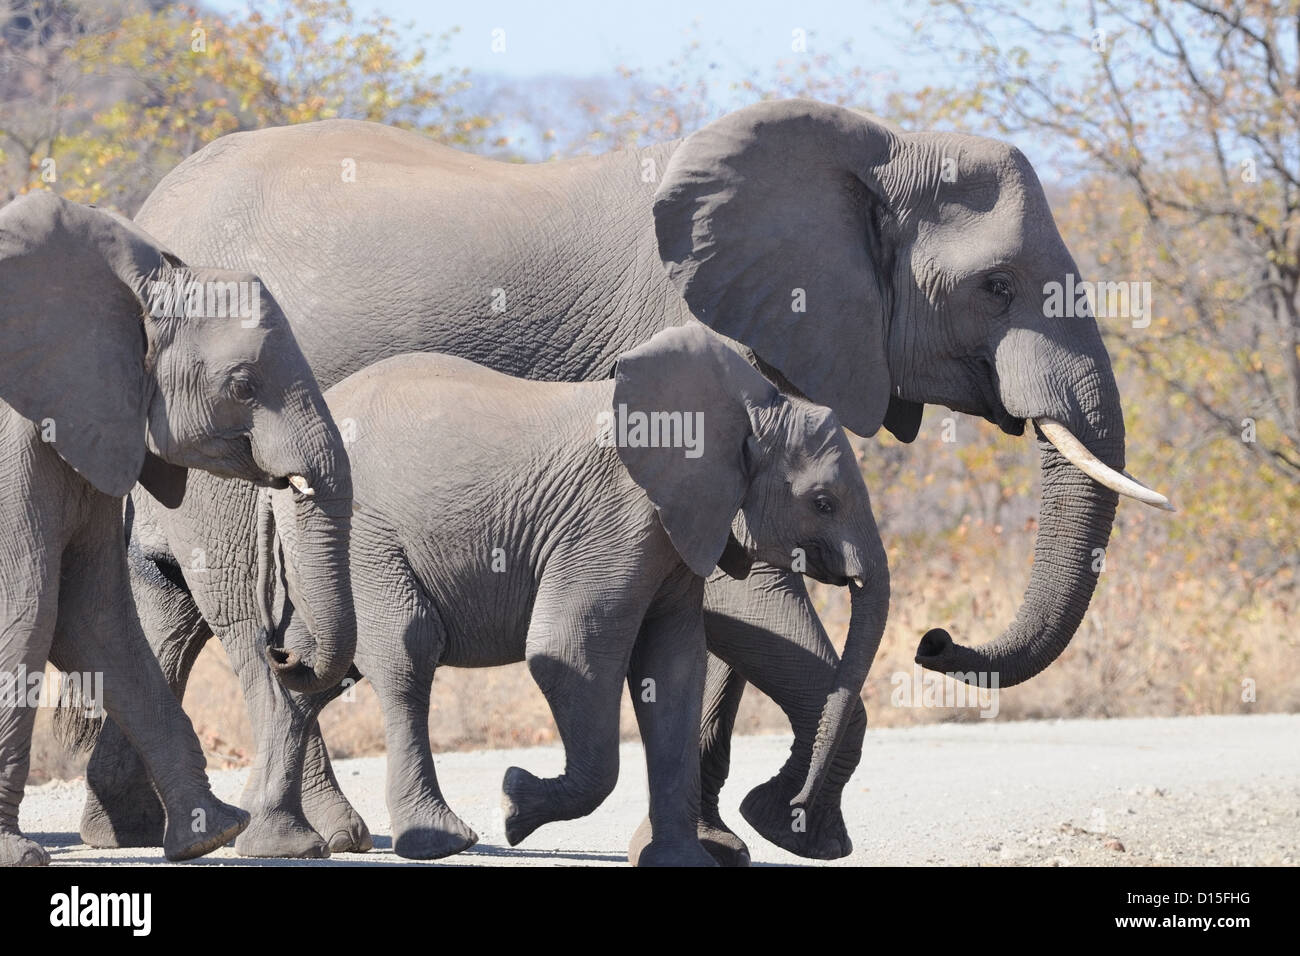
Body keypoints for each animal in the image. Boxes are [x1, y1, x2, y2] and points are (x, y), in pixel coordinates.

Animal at [269, 327, 889, 868]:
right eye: (824, 503)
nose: (792, 808)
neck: (746, 408)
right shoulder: (616, 520)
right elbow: (567, 651)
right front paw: (514, 802)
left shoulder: (674, 537)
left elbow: (673, 670)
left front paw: (679, 862)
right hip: (363, 540)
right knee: (407, 651)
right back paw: (438, 843)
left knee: (316, 667)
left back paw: (284, 836)